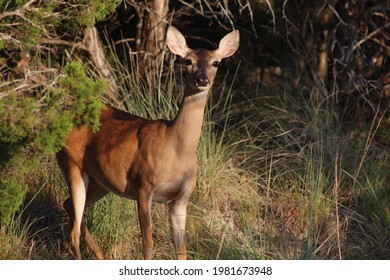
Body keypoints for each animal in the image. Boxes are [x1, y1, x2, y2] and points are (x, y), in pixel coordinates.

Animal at [56, 25, 239, 260]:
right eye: (188, 61)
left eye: (216, 63)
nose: (201, 79)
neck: (177, 151)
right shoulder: (143, 187)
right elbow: (148, 245)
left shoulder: (181, 199)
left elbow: (182, 251)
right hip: (72, 164)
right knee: (73, 230)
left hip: (101, 181)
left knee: (69, 207)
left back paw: (101, 256)